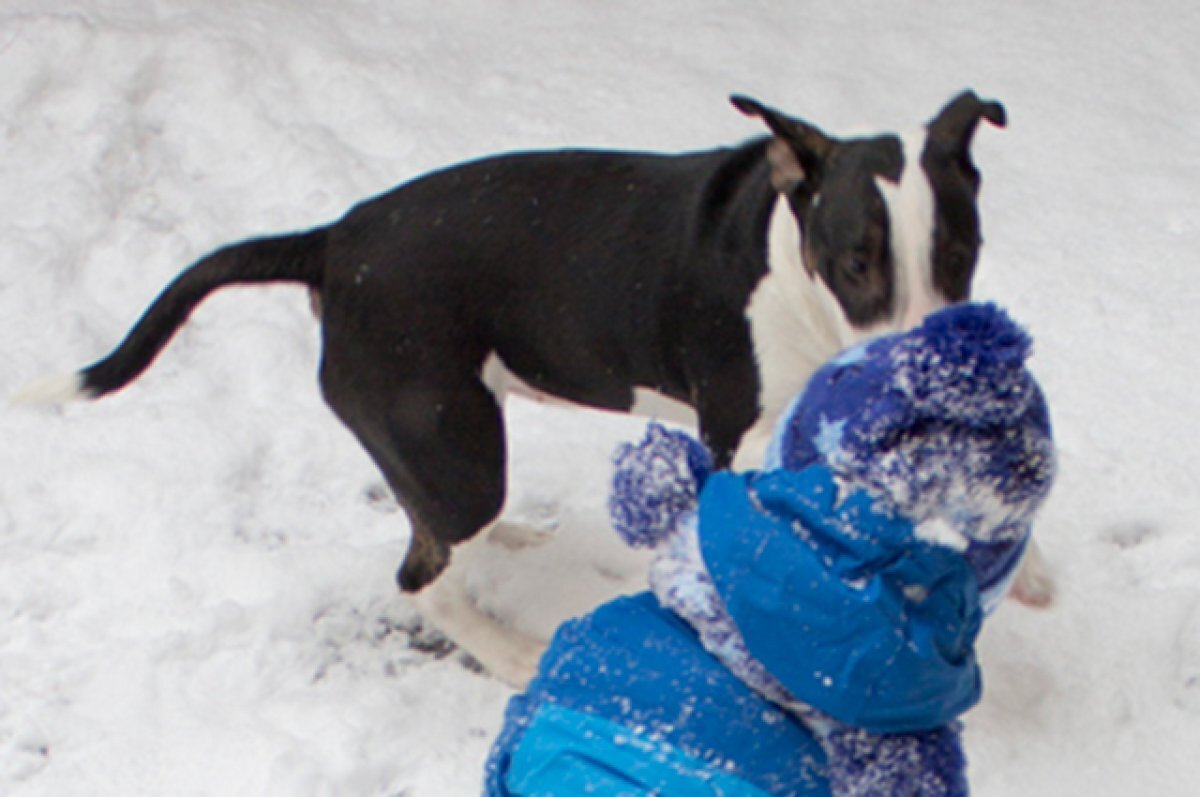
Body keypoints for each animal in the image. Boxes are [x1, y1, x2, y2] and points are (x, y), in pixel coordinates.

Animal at [18, 88, 1041, 686]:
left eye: (960, 250)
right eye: (856, 262)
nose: (932, 363)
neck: (787, 260)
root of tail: (334, 241)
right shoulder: (744, 429)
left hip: (451, 433)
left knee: (430, 521)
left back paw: (500, 537)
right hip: (448, 437)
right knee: (422, 576)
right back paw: (508, 649)